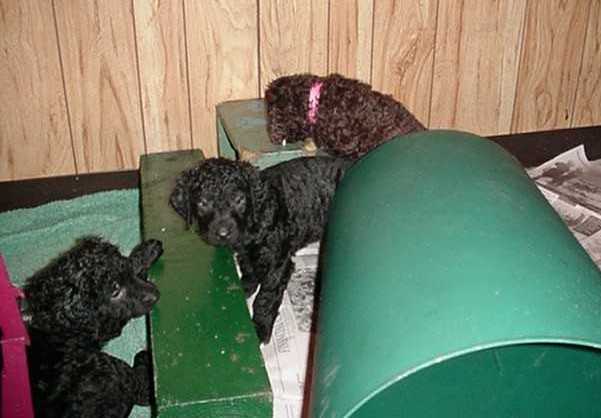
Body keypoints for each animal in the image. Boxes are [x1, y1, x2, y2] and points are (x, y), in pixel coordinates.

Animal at [23, 236, 162, 418]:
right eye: (115, 292)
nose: (155, 294)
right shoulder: (107, 326)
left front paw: (146, 251)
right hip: (106, 369)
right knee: (140, 388)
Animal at [169, 156, 351, 343]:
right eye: (202, 203)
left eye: (239, 199)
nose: (223, 233)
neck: (258, 215)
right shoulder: (244, 251)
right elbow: (248, 268)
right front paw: (244, 287)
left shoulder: (279, 264)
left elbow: (265, 297)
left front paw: (260, 326)